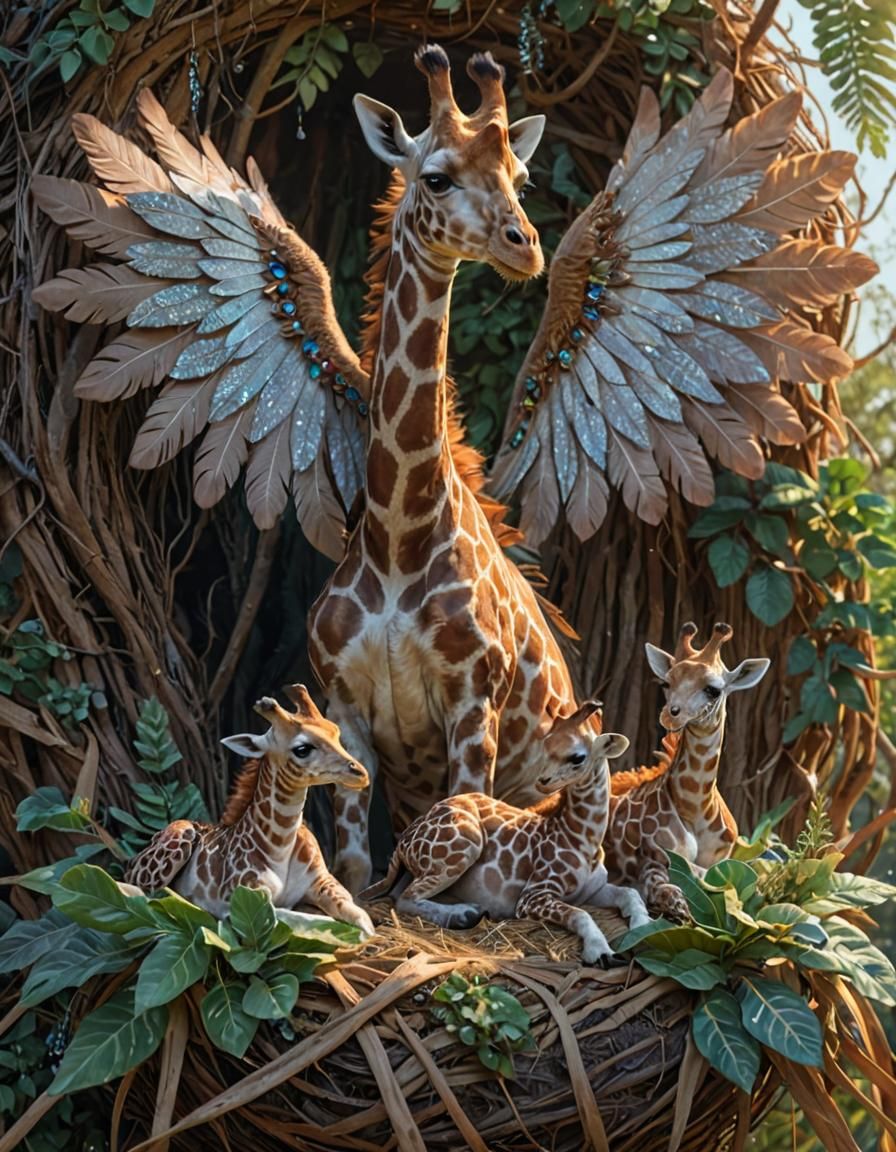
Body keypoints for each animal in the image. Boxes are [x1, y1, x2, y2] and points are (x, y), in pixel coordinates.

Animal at [124, 686, 374, 934]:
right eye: (302, 749)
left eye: (335, 731)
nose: (360, 774)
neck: (280, 846)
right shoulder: (246, 901)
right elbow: (310, 920)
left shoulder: (321, 880)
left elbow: (357, 913)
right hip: (166, 857)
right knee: (138, 892)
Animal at [308, 45, 582, 892]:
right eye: (436, 176)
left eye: (517, 176)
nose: (524, 244)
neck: (399, 535)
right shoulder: (346, 712)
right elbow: (354, 865)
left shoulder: (472, 711)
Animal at [361, 703, 650, 962]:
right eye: (545, 745)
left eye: (578, 757)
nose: (543, 781)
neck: (584, 839)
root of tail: (404, 841)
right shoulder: (532, 896)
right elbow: (580, 914)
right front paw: (601, 952)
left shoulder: (592, 890)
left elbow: (630, 893)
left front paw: (643, 926)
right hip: (466, 844)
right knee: (405, 898)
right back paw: (465, 914)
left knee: (399, 893)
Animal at [604, 623, 770, 920]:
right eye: (666, 683)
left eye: (714, 690)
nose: (671, 715)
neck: (696, 807)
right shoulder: (656, 857)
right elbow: (674, 892)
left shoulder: (724, 858)